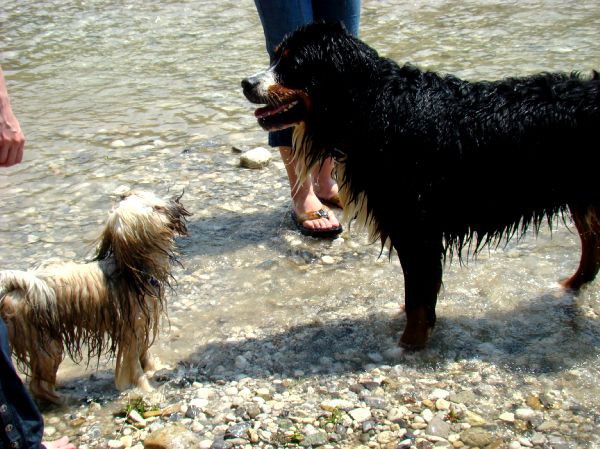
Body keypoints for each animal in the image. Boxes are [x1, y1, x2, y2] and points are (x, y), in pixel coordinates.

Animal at [0, 189, 189, 402]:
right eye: (157, 208)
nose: (175, 202)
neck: (133, 271)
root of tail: (14, 289)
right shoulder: (131, 332)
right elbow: (134, 366)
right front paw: (146, 389)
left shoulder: (141, 326)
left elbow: (145, 355)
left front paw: (155, 368)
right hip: (46, 345)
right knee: (37, 386)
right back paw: (65, 400)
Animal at [241, 21, 600, 350]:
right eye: (275, 56)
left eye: (293, 63)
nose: (246, 83)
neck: (372, 107)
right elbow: (417, 291)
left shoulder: (415, 226)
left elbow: (417, 294)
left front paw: (409, 344)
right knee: (591, 247)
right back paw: (570, 284)